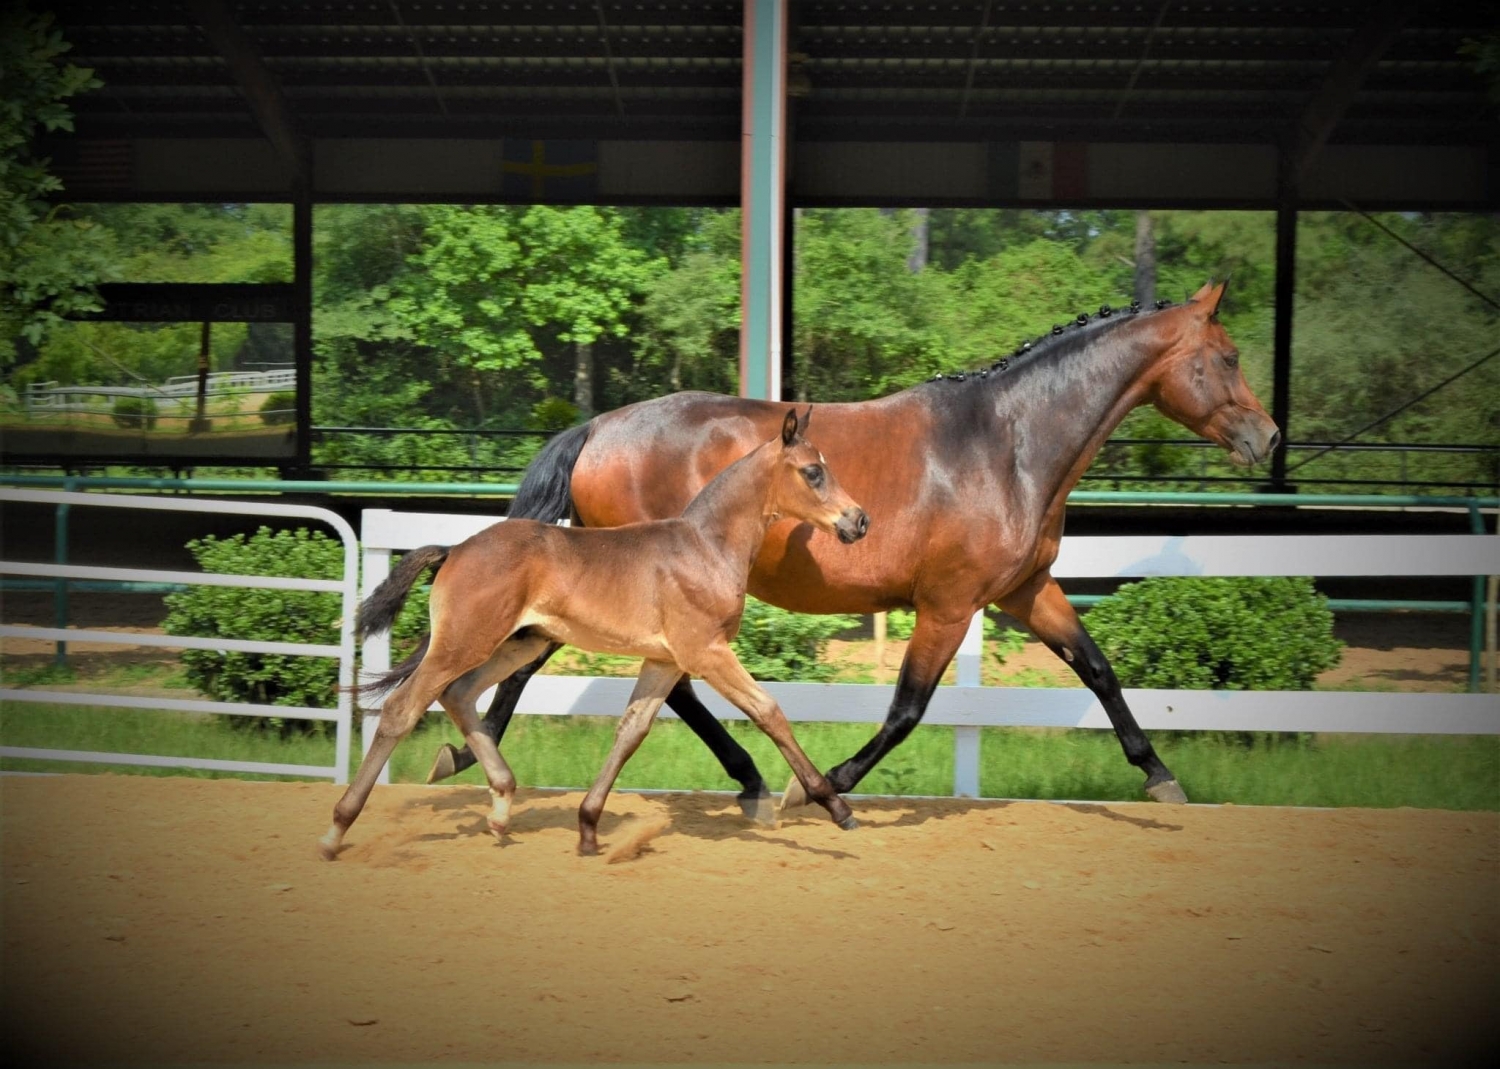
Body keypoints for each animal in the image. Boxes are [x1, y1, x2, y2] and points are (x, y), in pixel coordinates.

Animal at [321, 409, 870, 859]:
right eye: (813, 471)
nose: (859, 521)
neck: (704, 546)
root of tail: (455, 549)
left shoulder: (665, 661)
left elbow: (631, 731)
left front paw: (587, 827)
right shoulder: (706, 651)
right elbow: (768, 711)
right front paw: (833, 805)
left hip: (521, 642)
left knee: (458, 695)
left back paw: (500, 807)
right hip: (465, 642)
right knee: (403, 708)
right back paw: (337, 829)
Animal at [424, 279, 1278, 814]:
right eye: (1229, 357)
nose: (1268, 438)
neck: (1005, 442)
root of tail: (600, 426)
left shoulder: (1024, 590)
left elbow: (1097, 669)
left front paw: (1161, 778)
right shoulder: (949, 603)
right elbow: (907, 708)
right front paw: (817, 785)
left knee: (590, 667)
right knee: (623, 675)